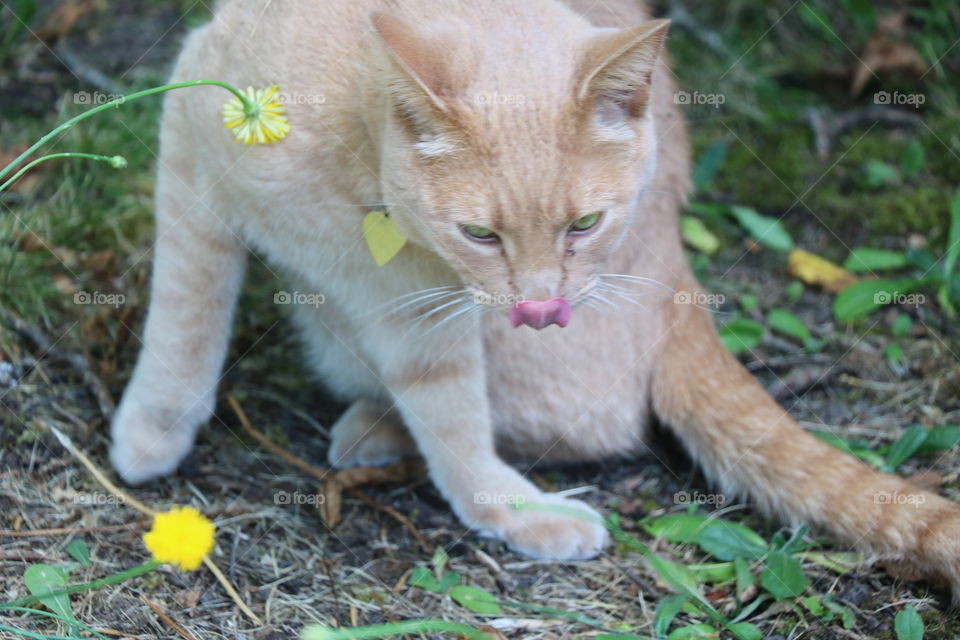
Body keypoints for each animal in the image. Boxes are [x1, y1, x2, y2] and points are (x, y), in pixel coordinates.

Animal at [109, 0, 960, 600]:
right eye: (481, 234)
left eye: (584, 224)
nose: (542, 308)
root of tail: (678, 280)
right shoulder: (188, 158)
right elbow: (185, 319)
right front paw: (155, 428)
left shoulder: (424, 316)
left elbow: (457, 427)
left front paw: (513, 512)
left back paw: (374, 431)